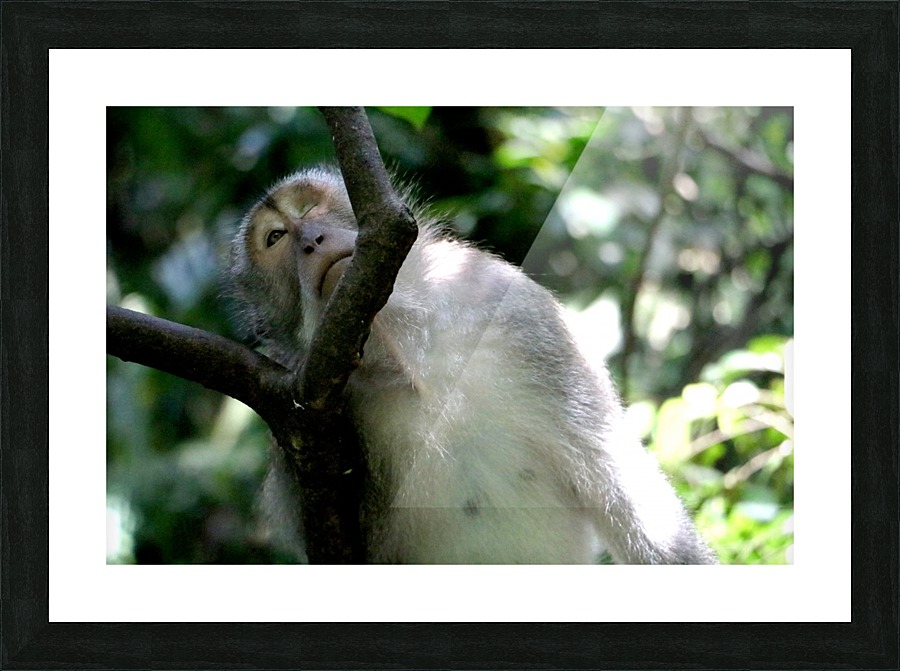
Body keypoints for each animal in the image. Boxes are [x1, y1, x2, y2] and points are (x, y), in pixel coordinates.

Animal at [228, 166, 717, 564]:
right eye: (276, 238)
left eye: (310, 207)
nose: (311, 240)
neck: (406, 344)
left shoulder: (523, 320)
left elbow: (627, 495)